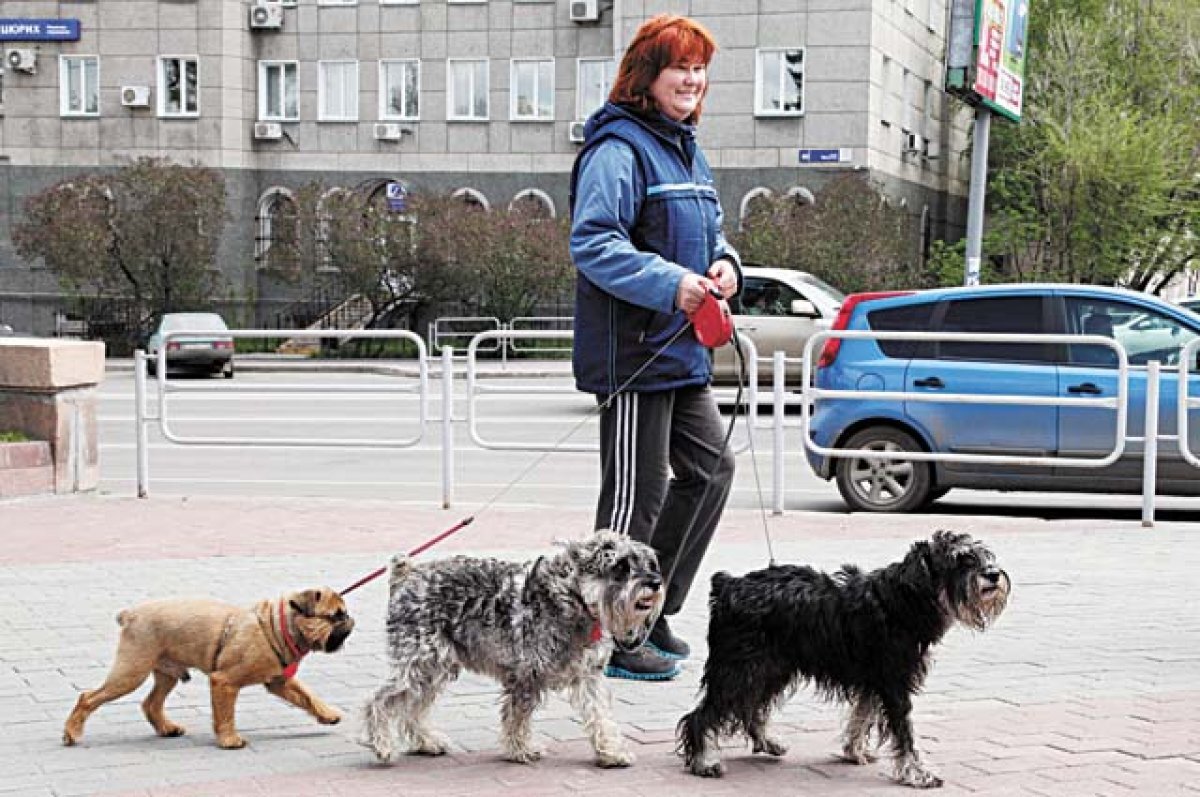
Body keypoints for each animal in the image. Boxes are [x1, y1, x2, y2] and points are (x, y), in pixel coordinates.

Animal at [62, 585, 350, 748]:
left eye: (344, 613)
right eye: (335, 616)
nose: (350, 620)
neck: (275, 627)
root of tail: (130, 614)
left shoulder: (280, 682)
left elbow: (308, 696)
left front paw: (327, 714)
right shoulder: (224, 682)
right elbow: (225, 715)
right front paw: (229, 740)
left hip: (165, 675)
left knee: (151, 703)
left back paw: (166, 728)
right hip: (131, 672)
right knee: (88, 697)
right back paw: (72, 733)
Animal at [364, 528, 667, 768]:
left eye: (648, 562)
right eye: (620, 567)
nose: (655, 582)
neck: (574, 598)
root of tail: (407, 577)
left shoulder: (589, 676)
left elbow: (600, 715)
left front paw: (611, 752)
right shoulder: (526, 675)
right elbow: (517, 718)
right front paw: (521, 750)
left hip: (436, 667)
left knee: (413, 708)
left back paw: (428, 742)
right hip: (419, 662)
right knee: (379, 700)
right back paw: (382, 746)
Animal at [681, 532, 1008, 787]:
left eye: (983, 555)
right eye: (959, 559)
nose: (993, 574)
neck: (902, 600)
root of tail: (727, 586)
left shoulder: (874, 680)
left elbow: (861, 717)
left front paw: (854, 751)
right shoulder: (894, 682)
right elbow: (905, 731)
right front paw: (917, 773)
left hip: (769, 670)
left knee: (750, 708)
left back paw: (767, 742)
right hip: (740, 670)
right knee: (702, 716)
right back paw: (703, 762)